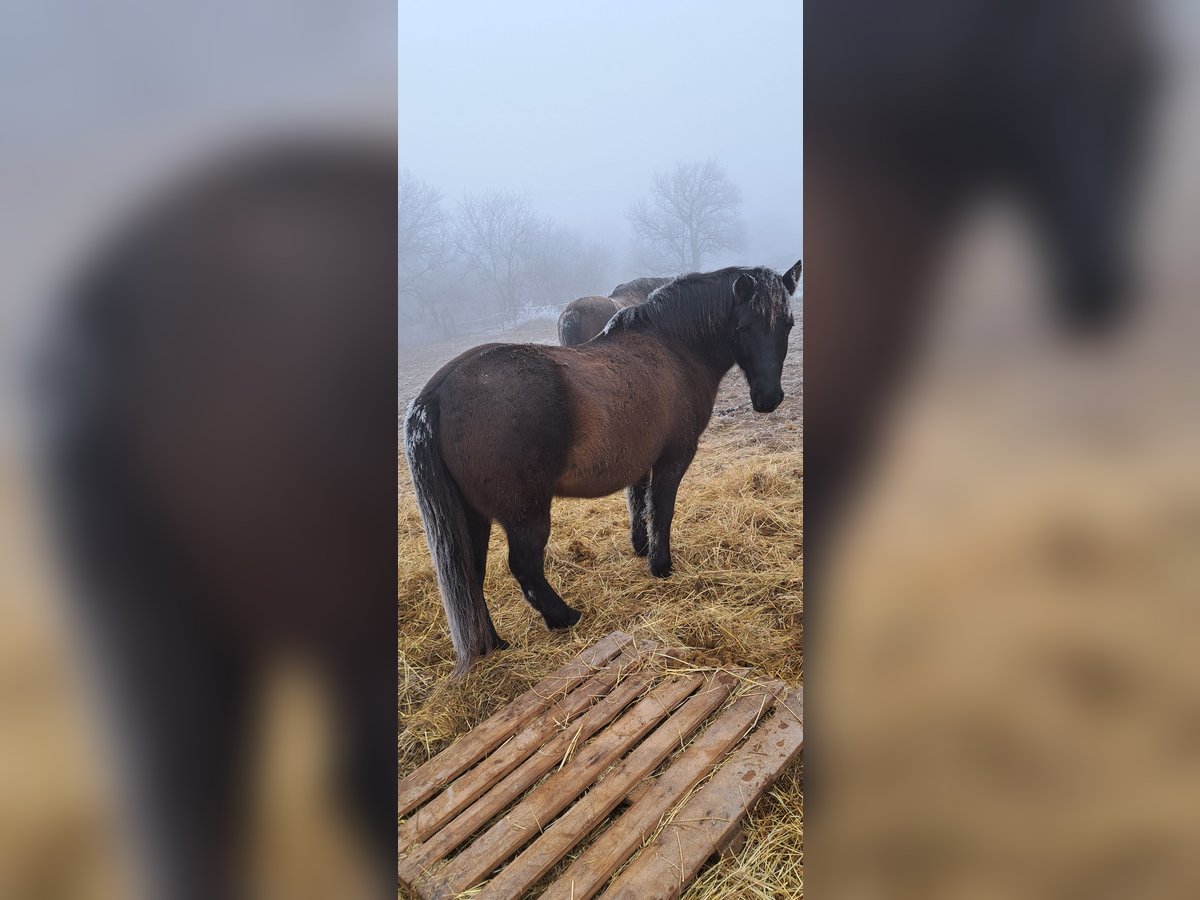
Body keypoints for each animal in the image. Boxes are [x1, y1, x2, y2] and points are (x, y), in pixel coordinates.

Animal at [408, 259, 801, 672]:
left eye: (788, 324)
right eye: (742, 327)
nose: (768, 398)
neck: (672, 349)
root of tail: (436, 395)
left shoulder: (641, 457)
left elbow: (638, 500)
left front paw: (641, 548)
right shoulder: (673, 456)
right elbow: (661, 508)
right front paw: (660, 565)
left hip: (473, 517)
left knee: (471, 574)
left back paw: (496, 643)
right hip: (525, 514)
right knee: (524, 566)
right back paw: (563, 617)